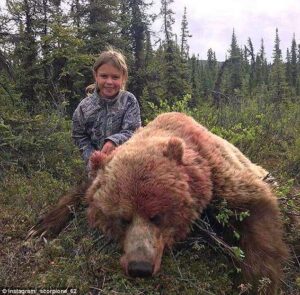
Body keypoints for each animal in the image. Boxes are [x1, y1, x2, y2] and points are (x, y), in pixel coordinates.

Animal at [28, 112, 288, 294]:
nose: (140, 268)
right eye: (122, 219)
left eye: (157, 216)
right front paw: (40, 229)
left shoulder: (220, 173)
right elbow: (80, 192)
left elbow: (255, 215)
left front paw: (257, 284)